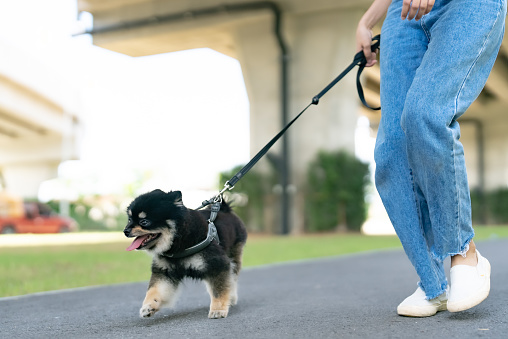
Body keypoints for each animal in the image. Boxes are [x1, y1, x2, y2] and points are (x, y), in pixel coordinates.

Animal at [125, 190, 248, 320]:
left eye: (144, 222)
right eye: (129, 220)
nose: (125, 231)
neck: (179, 242)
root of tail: (225, 209)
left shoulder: (217, 264)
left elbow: (219, 290)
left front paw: (218, 309)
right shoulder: (165, 272)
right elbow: (154, 290)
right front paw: (148, 306)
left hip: (233, 255)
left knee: (232, 279)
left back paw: (231, 298)